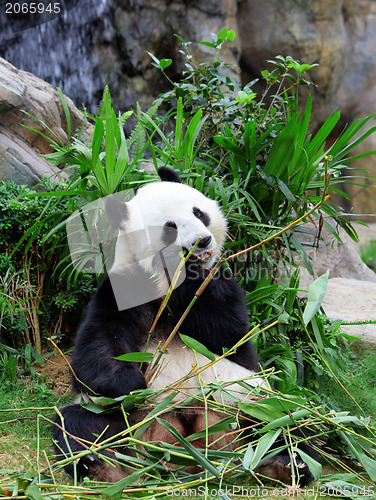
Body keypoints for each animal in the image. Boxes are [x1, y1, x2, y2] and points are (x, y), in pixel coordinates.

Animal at [53, 168, 318, 484]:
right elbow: (97, 349)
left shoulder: (220, 287)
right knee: (81, 425)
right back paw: (99, 465)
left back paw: (288, 463)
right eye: (170, 227)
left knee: (289, 421)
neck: (165, 287)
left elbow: (230, 337)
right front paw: (130, 382)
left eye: (198, 213)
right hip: (124, 415)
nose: (201, 241)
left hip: (249, 399)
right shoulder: (124, 288)